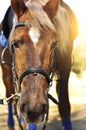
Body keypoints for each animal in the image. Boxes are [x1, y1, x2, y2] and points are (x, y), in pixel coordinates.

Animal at [0, 0, 78, 130]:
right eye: (14, 44)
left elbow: (64, 106)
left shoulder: (65, 67)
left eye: (54, 45)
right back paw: (11, 123)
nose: (34, 110)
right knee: (10, 96)